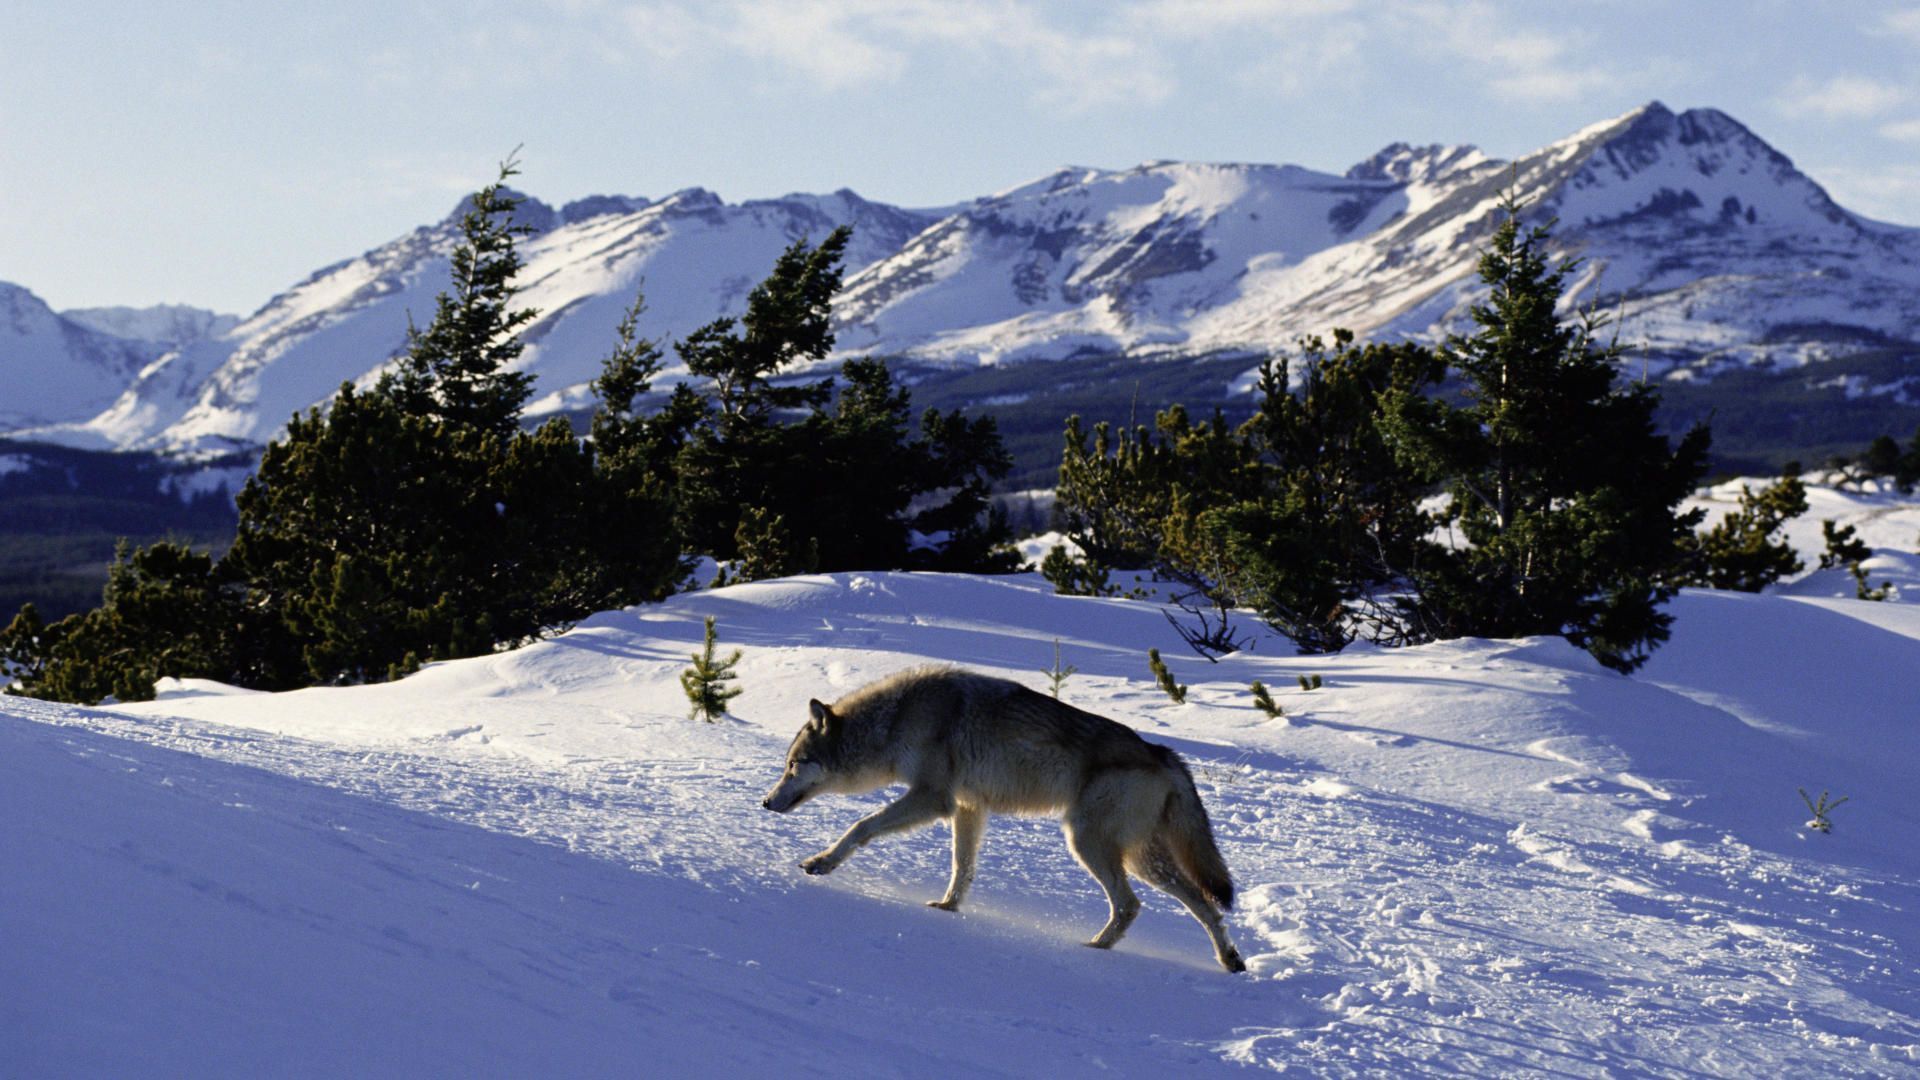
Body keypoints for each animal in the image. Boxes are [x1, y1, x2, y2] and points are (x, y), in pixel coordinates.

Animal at [760, 664, 1244, 968]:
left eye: (793, 765)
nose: (765, 802)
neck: (897, 719)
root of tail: (1163, 754)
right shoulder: (967, 807)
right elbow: (963, 866)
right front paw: (948, 908)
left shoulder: (933, 798)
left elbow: (860, 826)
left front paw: (821, 862)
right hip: (1142, 860)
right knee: (1204, 904)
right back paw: (1230, 960)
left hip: (1089, 844)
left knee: (1130, 905)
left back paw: (1094, 948)